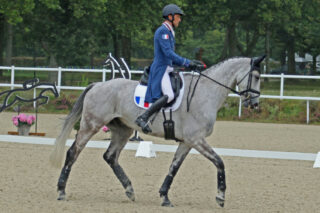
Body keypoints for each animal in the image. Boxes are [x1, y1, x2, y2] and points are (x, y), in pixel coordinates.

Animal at [50, 55, 264, 208]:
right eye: (256, 77)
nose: (254, 104)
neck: (205, 93)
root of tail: (98, 85)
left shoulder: (187, 141)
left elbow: (174, 167)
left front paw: (164, 196)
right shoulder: (196, 139)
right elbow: (219, 162)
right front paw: (220, 196)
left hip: (123, 131)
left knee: (110, 156)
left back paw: (129, 190)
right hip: (91, 125)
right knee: (73, 152)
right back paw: (61, 191)